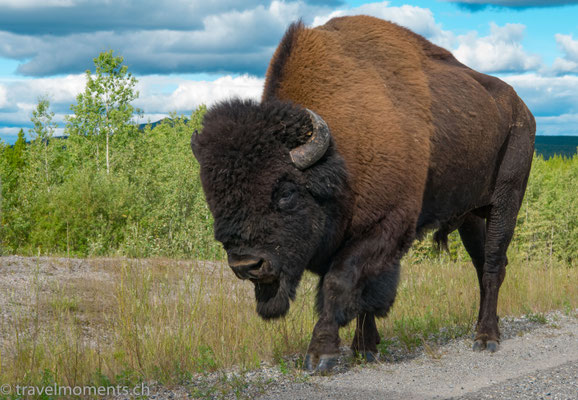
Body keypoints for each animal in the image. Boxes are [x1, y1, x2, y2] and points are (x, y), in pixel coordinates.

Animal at [190, 15, 536, 372]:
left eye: (286, 192)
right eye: (214, 196)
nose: (246, 264)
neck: (339, 153)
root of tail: (522, 109)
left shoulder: (383, 228)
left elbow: (340, 284)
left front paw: (321, 355)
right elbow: (364, 293)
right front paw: (365, 347)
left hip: (506, 201)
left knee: (493, 264)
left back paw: (486, 338)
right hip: (469, 217)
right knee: (482, 265)